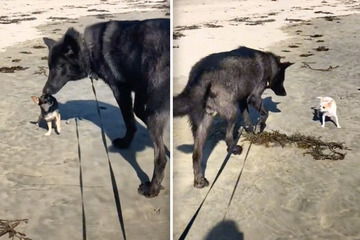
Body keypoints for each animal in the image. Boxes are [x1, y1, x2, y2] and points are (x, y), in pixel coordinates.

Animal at [41, 19, 171, 198]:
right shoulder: (139, 93)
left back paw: (152, 189)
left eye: (60, 67)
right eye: (49, 67)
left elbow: (129, 120)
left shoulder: (120, 91)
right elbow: (137, 113)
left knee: (160, 159)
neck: (88, 48)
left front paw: (125, 142)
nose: (45, 91)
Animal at [173, 45, 294, 188]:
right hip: (232, 113)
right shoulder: (254, 98)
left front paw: (250, 128)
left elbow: (247, 116)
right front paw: (260, 126)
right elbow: (265, 112)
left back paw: (199, 180)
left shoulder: (243, 100)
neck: (268, 63)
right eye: (282, 79)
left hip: (203, 125)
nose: (285, 94)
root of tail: (200, 75)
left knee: (196, 155)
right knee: (228, 137)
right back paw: (233, 148)